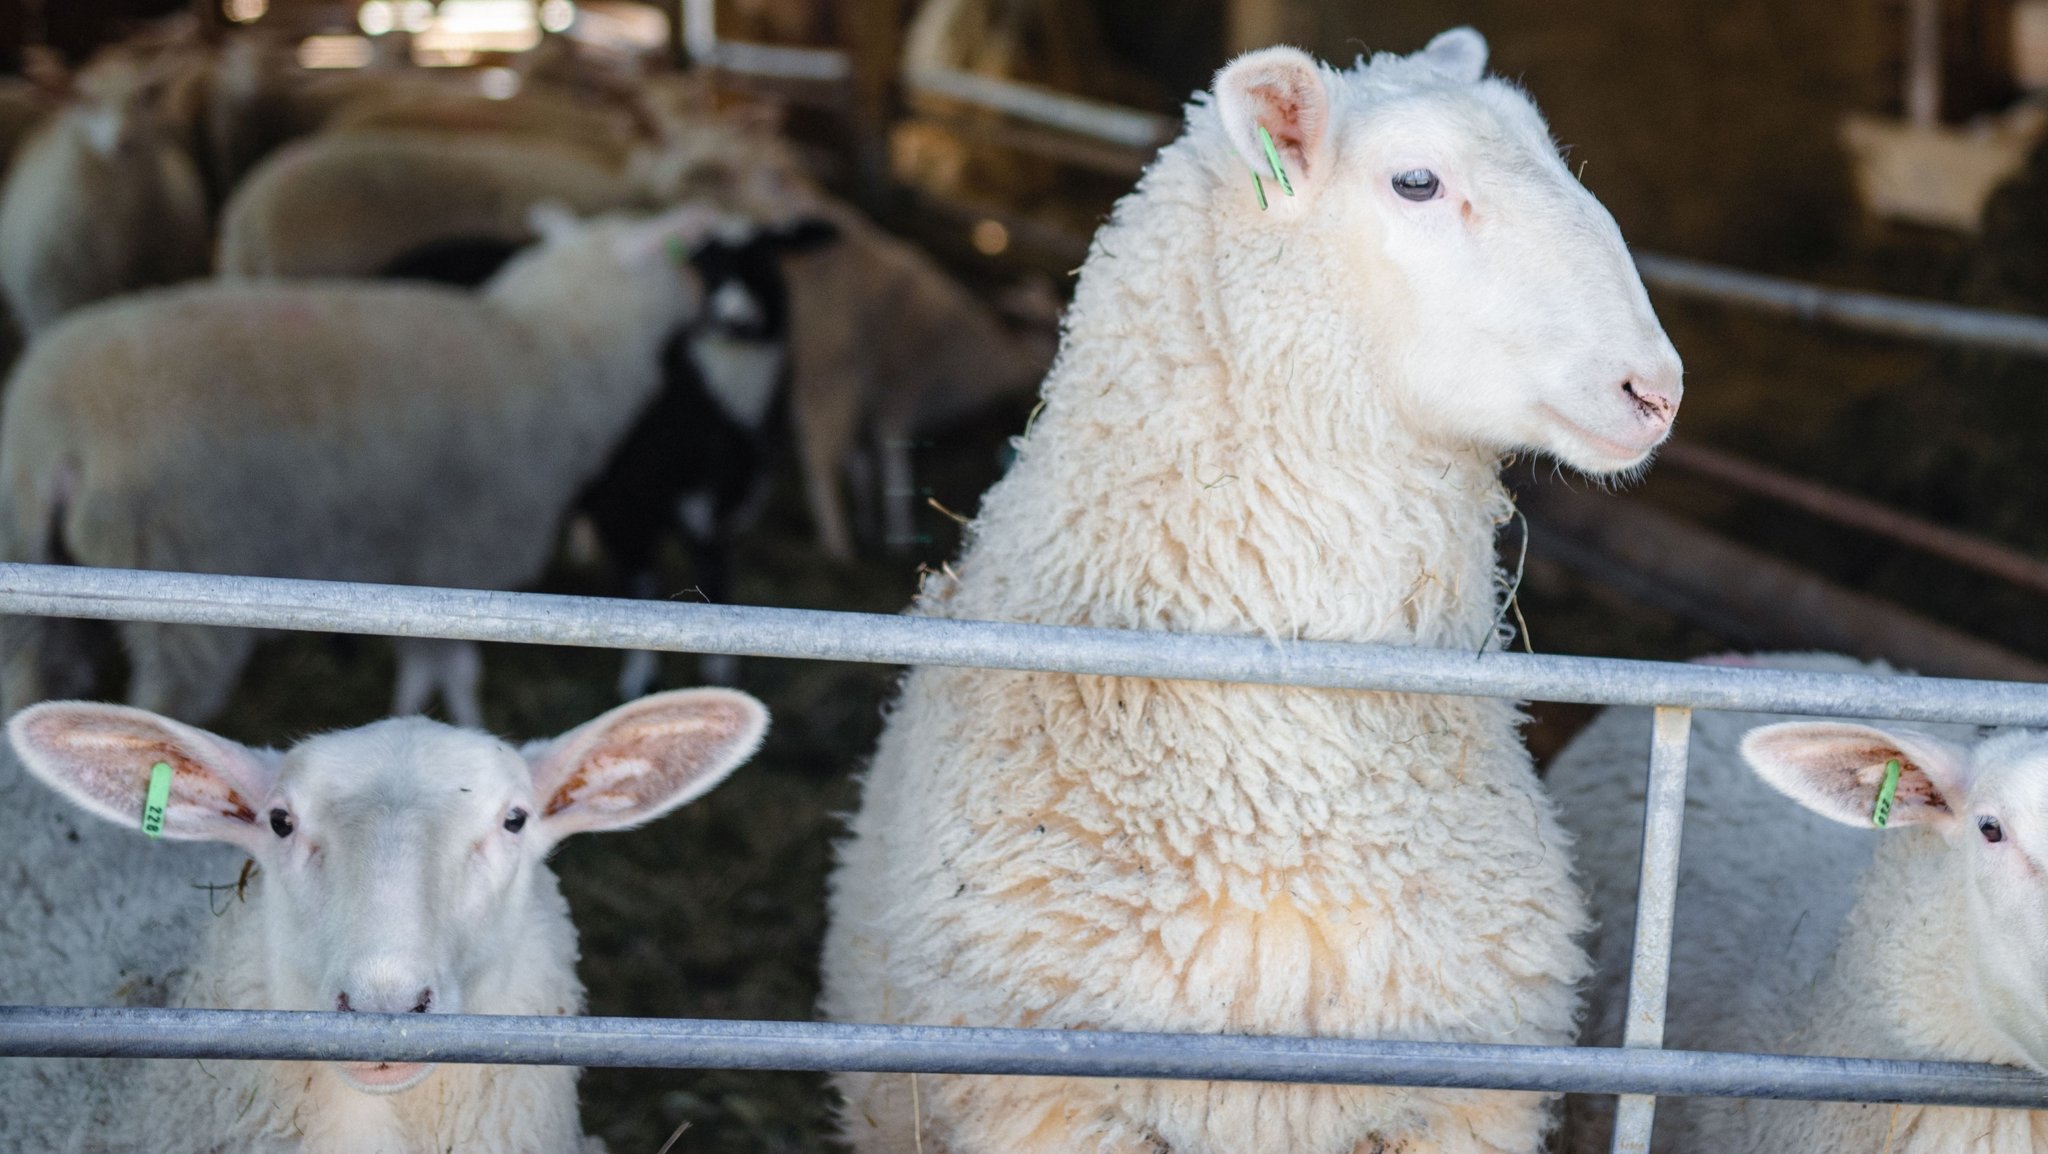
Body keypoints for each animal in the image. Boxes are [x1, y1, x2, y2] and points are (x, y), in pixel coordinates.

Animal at [0, 202, 729, 725]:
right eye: (677, 253)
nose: (705, 291)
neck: (553, 346)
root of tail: (55, 429)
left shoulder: (411, 566)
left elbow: (418, 663)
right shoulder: (459, 552)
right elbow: (454, 671)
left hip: (32, 568)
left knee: (34, 677)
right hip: (175, 570)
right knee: (163, 701)